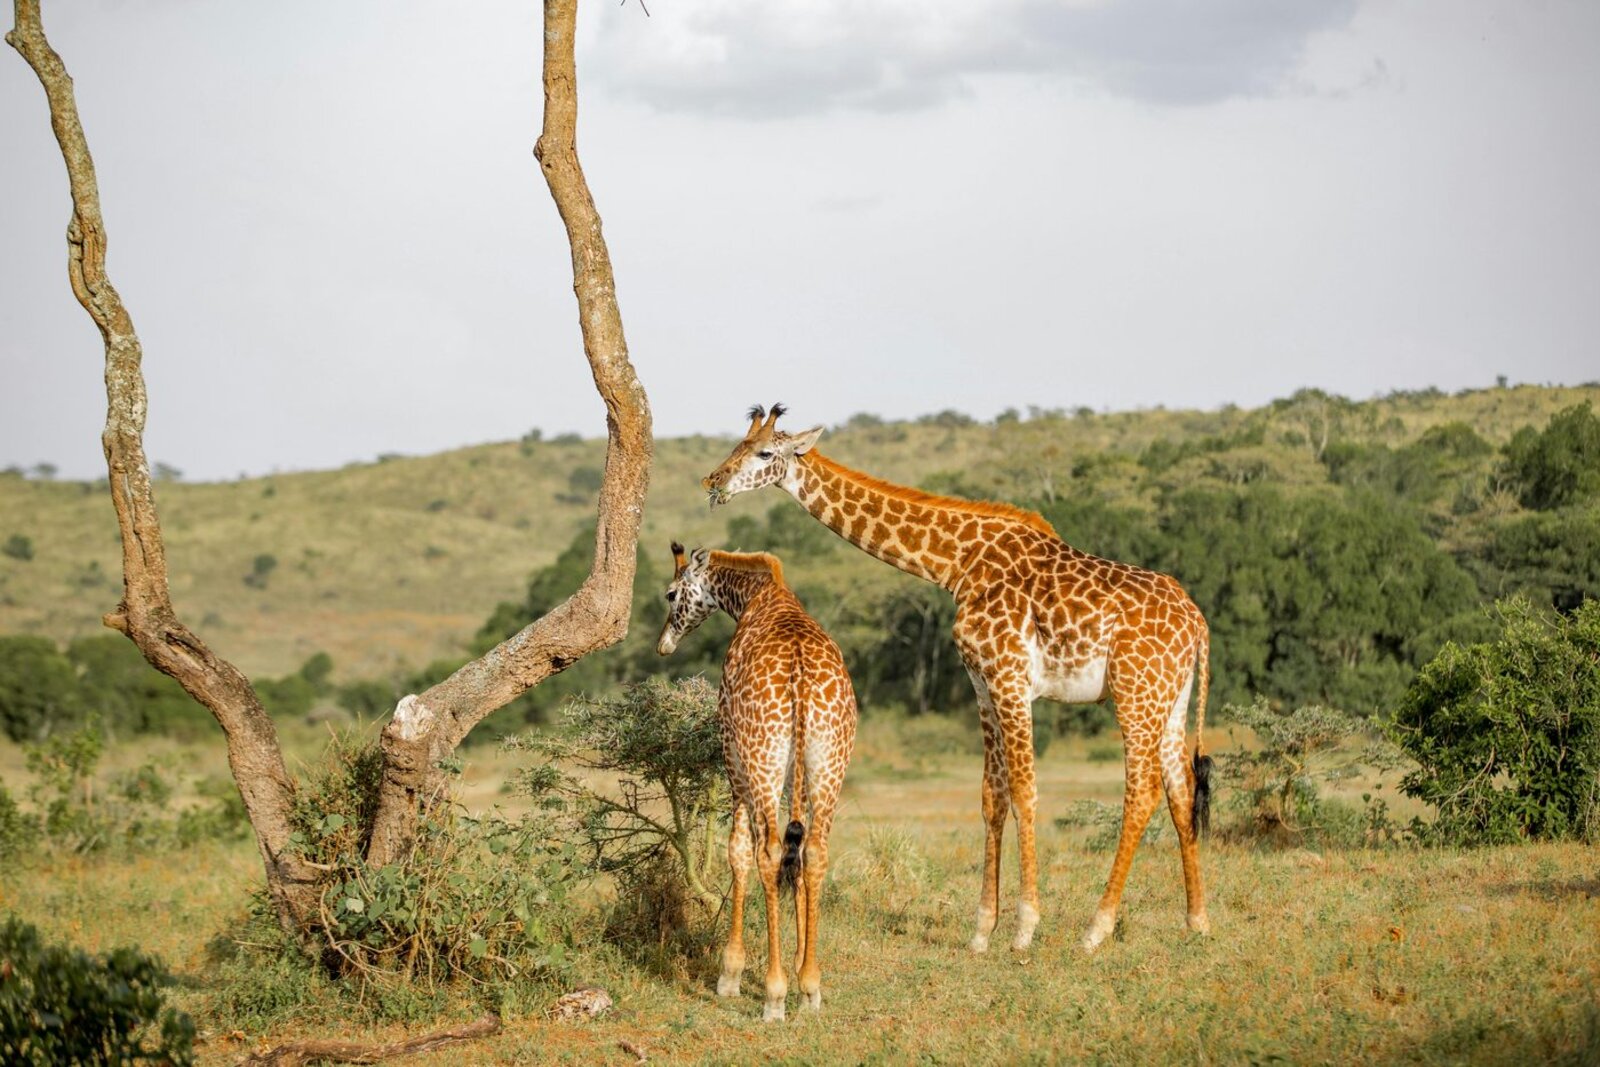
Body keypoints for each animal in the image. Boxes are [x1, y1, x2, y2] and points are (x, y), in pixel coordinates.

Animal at [656, 542, 858, 1020]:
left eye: (671, 594)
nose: (663, 645)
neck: (754, 597)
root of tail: (801, 679)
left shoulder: (731, 753)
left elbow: (737, 850)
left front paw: (729, 973)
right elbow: (796, 855)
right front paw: (803, 970)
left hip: (759, 757)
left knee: (766, 852)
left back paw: (773, 994)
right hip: (829, 761)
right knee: (814, 851)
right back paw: (810, 986)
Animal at [701, 405, 1213, 954]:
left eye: (764, 453)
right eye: (736, 445)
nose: (714, 482)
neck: (957, 563)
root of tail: (1198, 621)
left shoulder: (1011, 676)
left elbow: (1026, 792)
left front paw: (1025, 926)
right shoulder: (982, 682)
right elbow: (993, 796)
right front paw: (982, 928)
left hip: (1134, 694)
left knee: (1142, 793)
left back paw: (1097, 927)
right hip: (1170, 699)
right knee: (1181, 789)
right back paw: (1196, 919)